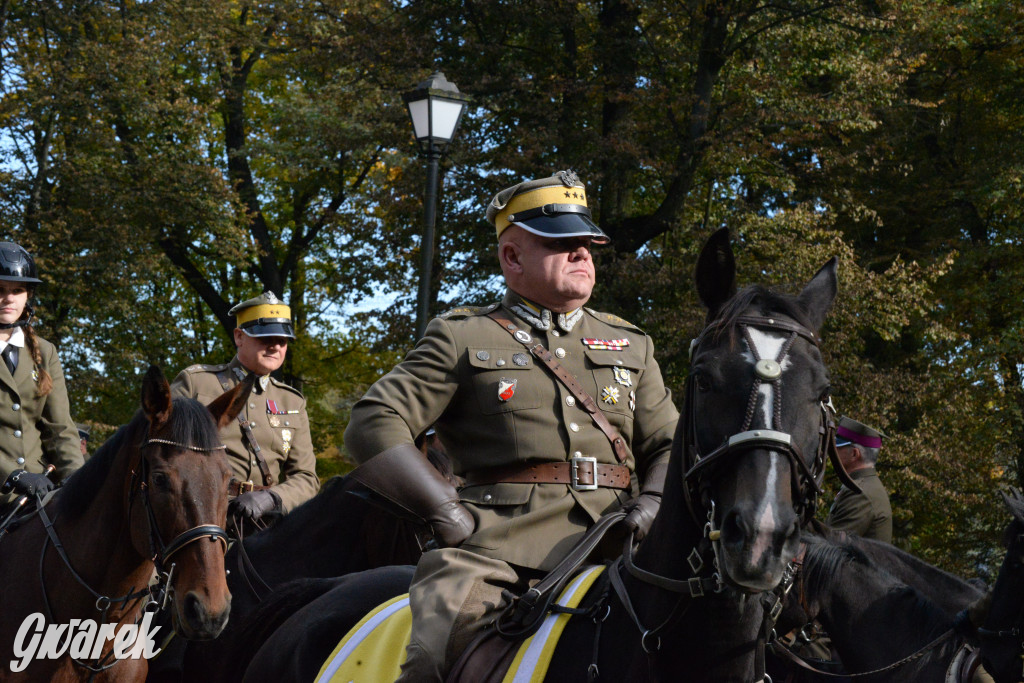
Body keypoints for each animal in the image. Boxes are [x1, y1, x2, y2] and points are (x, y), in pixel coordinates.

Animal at [235, 229, 843, 683]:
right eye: (705, 378)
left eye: (822, 390)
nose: (760, 537)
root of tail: (318, 594)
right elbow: (377, 414)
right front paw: (460, 523)